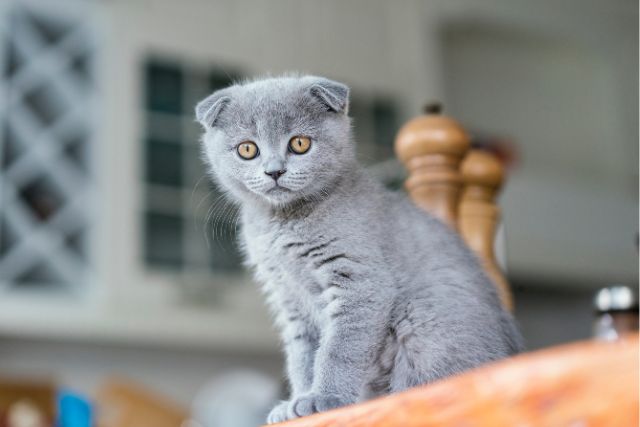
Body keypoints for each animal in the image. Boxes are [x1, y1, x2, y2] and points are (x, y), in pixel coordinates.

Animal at [196, 75, 524, 422]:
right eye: (247, 149)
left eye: (299, 144)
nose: (274, 171)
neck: (283, 223)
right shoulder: (288, 297)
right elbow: (301, 355)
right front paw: (296, 402)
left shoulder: (359, 280)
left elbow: (338, 348)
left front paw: (323, 398)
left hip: (424, 320)